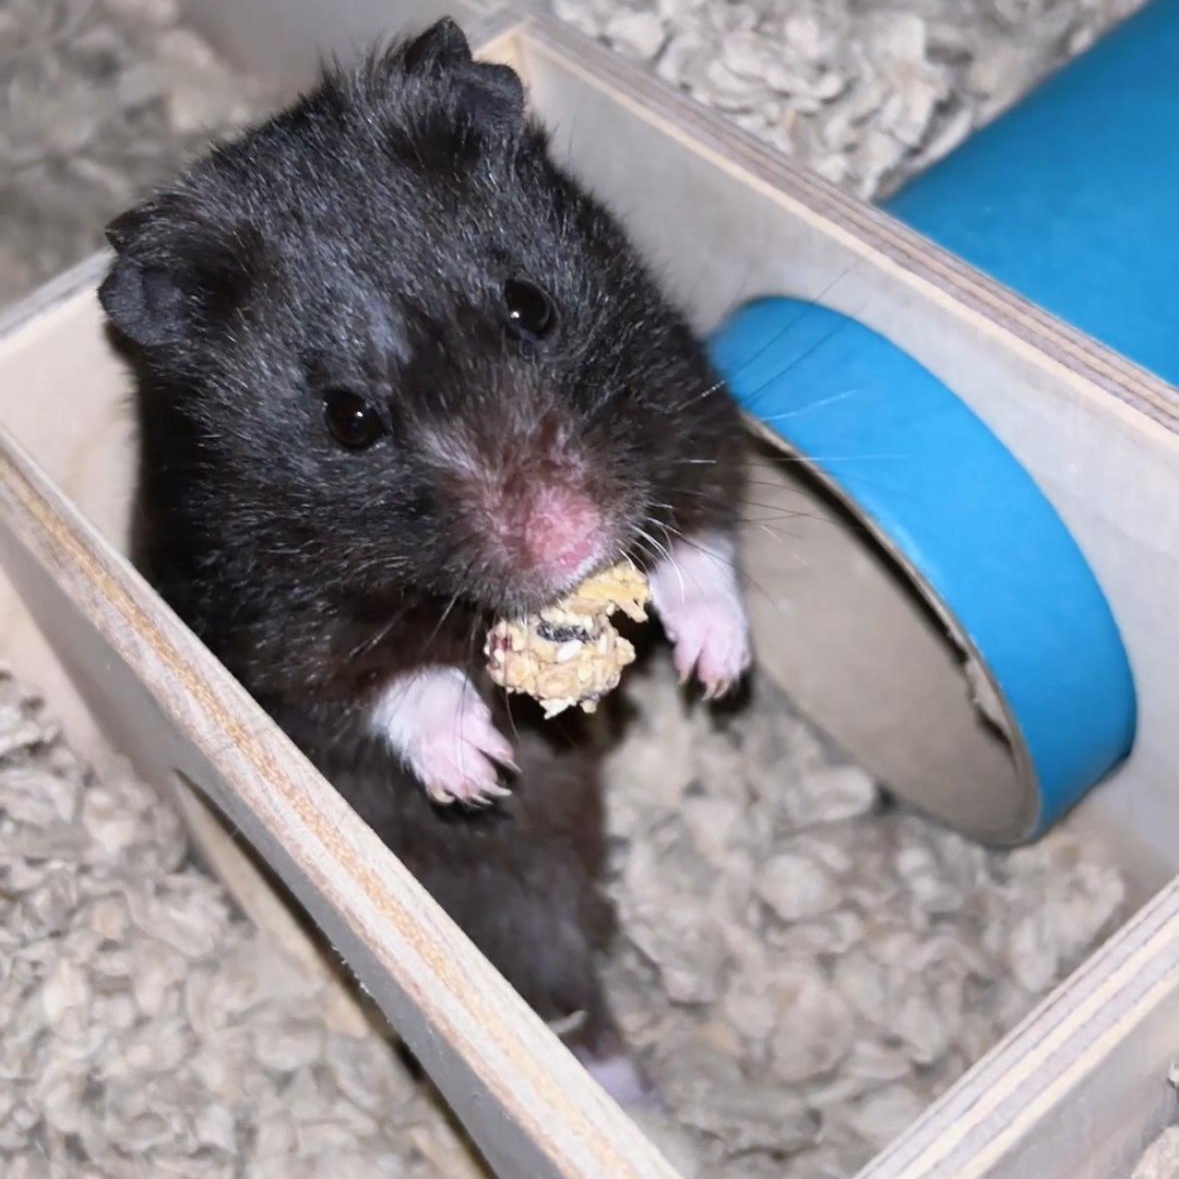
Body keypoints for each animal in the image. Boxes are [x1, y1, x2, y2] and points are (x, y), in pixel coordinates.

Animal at [98, 17, 751, 1104]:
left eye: (531, 306)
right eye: (348, 418)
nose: (571, 540)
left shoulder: (677, 398)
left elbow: (703, 537)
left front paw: (714, 667)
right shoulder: (260, 621)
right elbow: (375, 683)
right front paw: (478, 763)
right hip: (483, 877)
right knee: (556, 980)